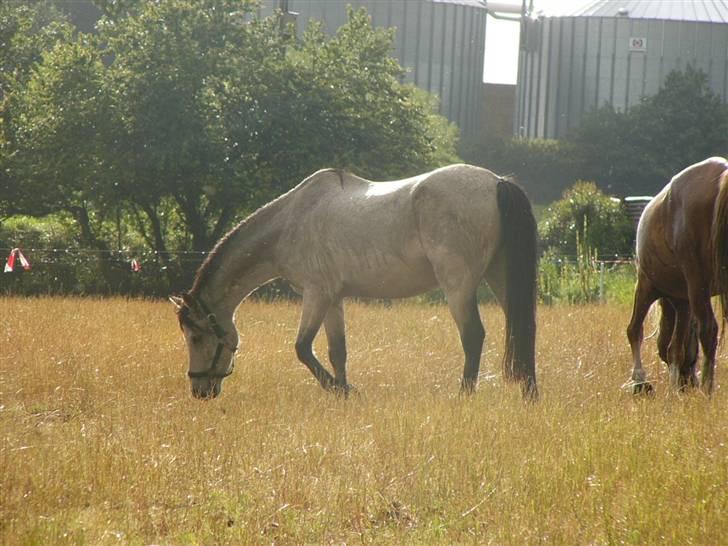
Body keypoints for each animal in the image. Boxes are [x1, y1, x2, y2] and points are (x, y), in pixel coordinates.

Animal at [168, 164, 536, 398]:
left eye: (196, 337)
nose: (200, 391)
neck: (291, 222)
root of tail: (496, 181)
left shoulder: (316, 293)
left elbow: (302, 348)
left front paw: (343, 390)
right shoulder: (333, 299)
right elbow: (337, 352)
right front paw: (343, 390)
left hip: (457, 286)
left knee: (473, 336)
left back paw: (464, 395)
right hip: (499, 277)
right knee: (522, 329)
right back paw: (529, 394)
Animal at [624, 155, 728, 394]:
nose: (688, 383)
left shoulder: (646, 285)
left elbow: (636, 331)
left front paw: (641, 379)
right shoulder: (682, 301)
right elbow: (674, 347)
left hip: (694, 282)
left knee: (708, 330)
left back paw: (707, 388)